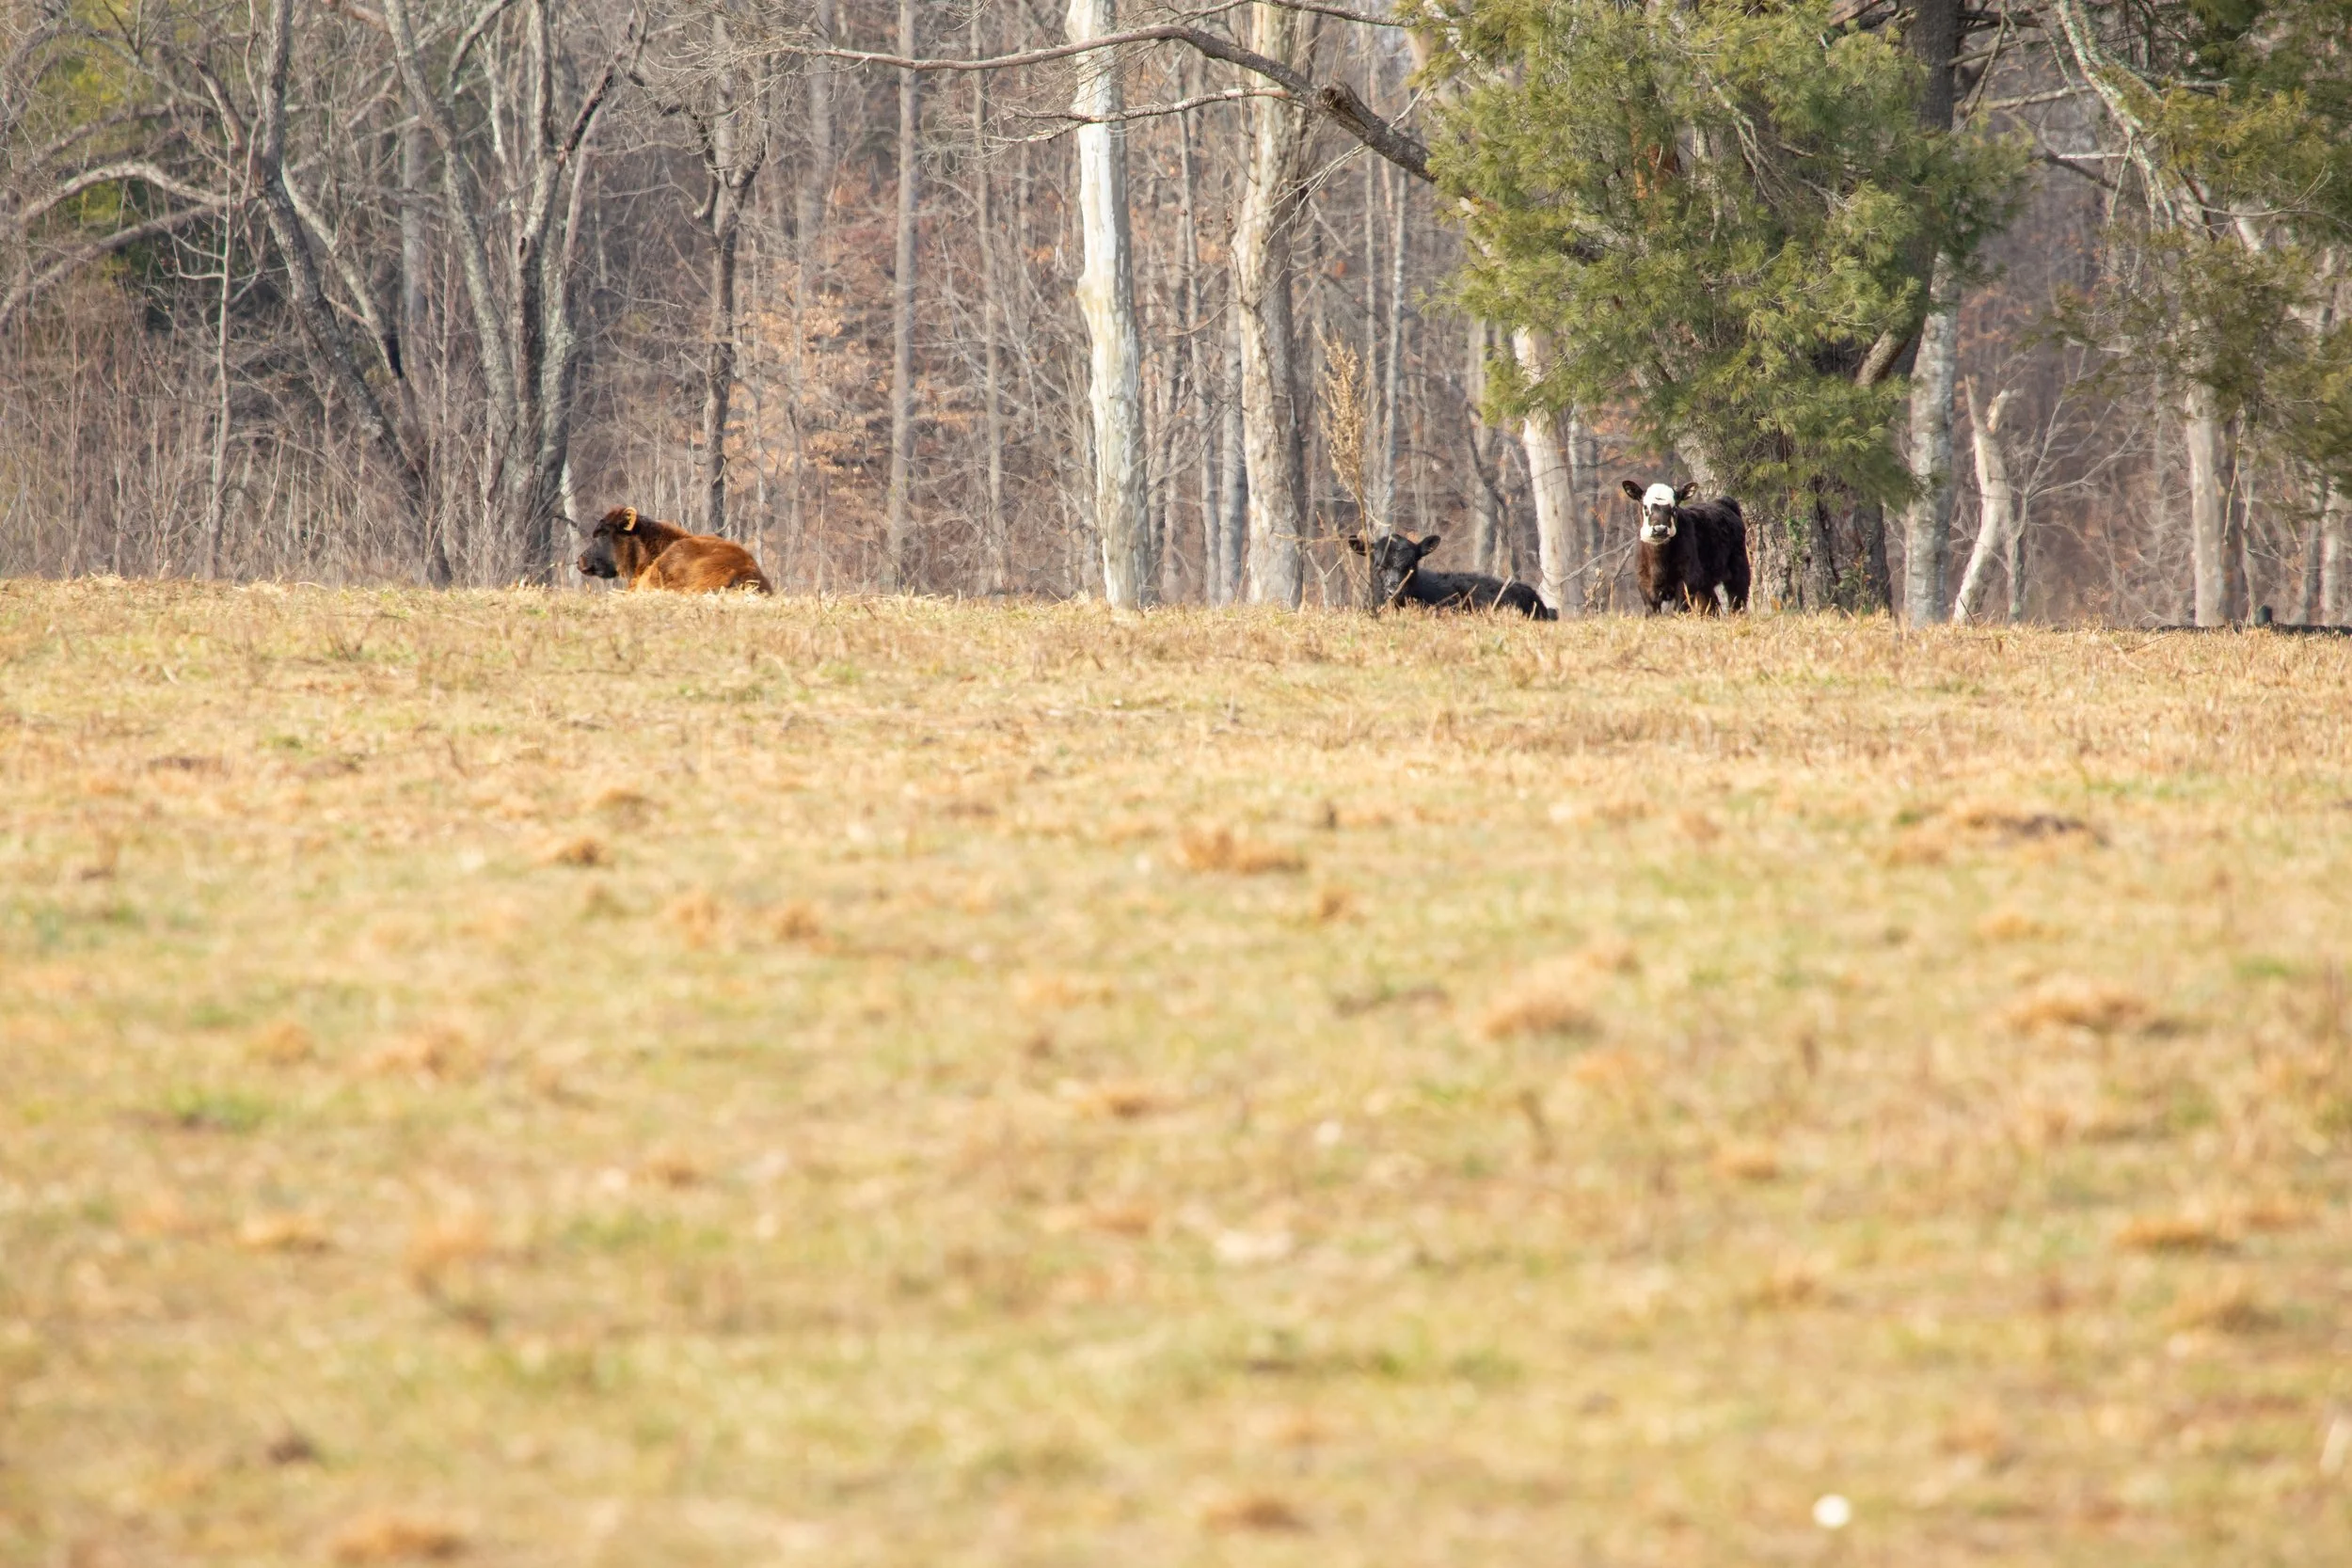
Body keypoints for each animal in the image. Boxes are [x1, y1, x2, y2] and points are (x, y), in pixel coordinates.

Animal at [1621, 480, 1749, 615]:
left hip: (1739, 568)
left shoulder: (1688, 579)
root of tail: (1723, 502)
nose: (1660, 530)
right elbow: (1652, 612)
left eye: (1674, 508)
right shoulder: (1644, 582)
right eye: (1645, 507)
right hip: (1705, 582)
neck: (1659, 563)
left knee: (1738, 601)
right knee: (1712, 606)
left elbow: (1681, 609)